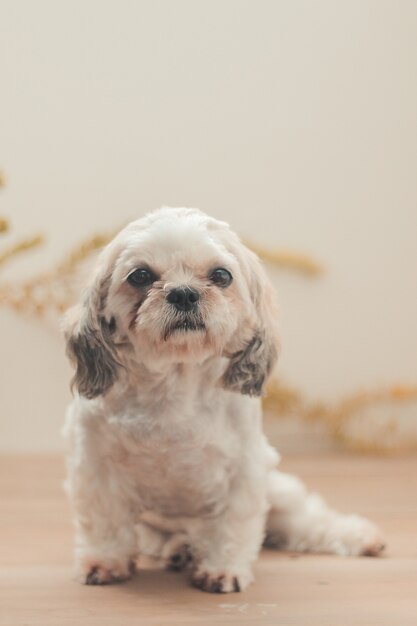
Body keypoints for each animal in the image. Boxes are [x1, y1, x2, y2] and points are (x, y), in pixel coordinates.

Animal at [63, 207, 386, 592]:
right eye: (140, 275)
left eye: (221, 275)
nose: (184, 293)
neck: (174, 390)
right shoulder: (96, 468)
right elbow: (105, 522)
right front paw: (105, 562)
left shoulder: (243, 471)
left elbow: (233, 525)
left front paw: (223, 569)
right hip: (150, 524)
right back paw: (180, 549)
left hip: (279, 492)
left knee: (308, 521)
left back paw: (358, 536)